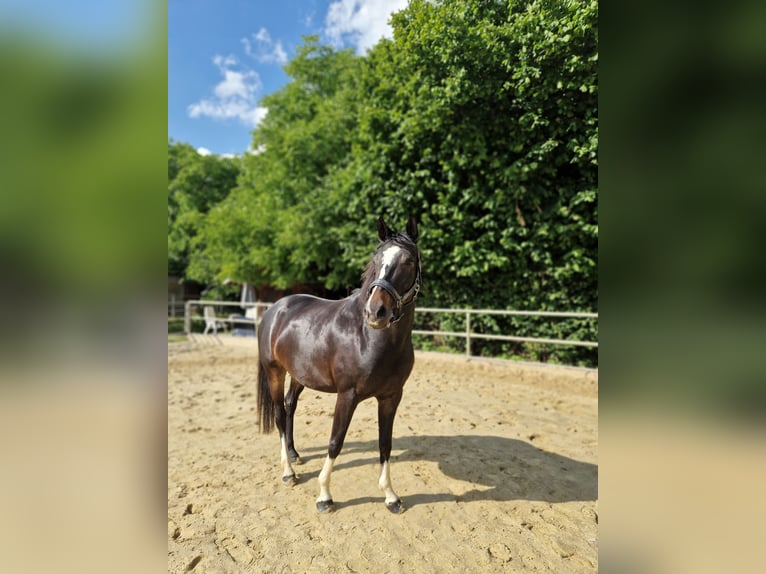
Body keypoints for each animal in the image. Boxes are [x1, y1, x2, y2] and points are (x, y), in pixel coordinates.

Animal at [256, 216, 421, 514]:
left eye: (408, 261)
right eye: (377, 259)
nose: (376, 312)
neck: (369, 338)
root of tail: (275, 309)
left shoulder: (391, 397)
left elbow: (385, 444)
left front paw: (391, 496)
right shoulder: (347, 395)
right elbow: (335, 442)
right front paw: (324, 496)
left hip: (299, 375)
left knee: (289, 407)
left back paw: (295, 455)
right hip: (275, 372)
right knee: (278, 415)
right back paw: (288, 472)